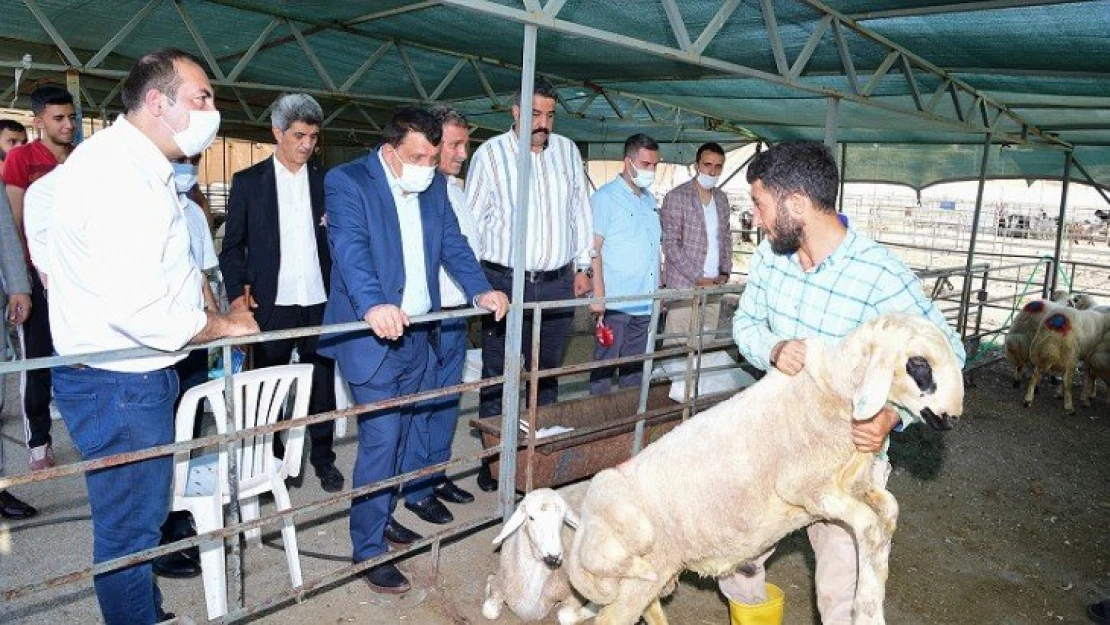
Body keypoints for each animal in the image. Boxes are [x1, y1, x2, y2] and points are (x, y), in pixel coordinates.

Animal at [481, 484, 594, 625]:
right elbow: (488, 611)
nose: (553, 557)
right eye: (531, 517)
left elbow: (566, 616)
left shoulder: (574, 593)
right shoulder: (500, 582)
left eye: (562, 519)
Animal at [563, 315, 963, 625]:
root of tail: (580, 539)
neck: (834, 393)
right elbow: (866, 524)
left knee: (647, 608)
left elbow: (888, 511)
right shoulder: (804, 487)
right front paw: (867, 608)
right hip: (628, 562)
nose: (951, 418)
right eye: (919, 363)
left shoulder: (855, 484)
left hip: (654, 575)